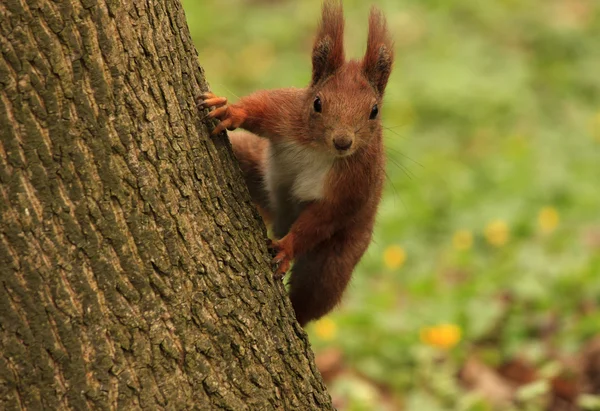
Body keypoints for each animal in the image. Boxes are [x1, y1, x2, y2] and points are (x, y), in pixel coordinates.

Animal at [197, 0, 394, 328]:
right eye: (317, 102)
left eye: (374, 111)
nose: (343, 142)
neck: (319, 148)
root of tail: (278, 218)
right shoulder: (285, 113)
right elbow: (260, 107)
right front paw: (230, 111)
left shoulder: (355, 182)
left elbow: (324, 217)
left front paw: (286, 248)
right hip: (253, 163)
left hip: (336, 259)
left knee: (313, 296)